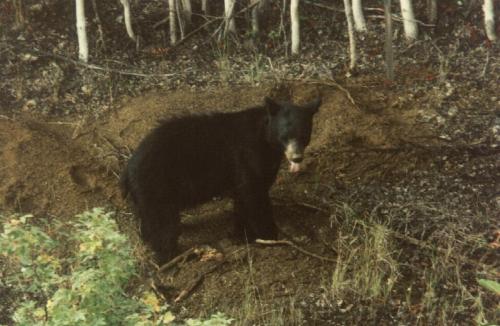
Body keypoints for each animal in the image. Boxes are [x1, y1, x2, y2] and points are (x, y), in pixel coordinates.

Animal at [123, 95, 322, 262]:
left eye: (304, 135)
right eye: (285, 136)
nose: (297, 158)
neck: (266, 139)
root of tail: (128, 167)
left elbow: (244, 198)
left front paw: (242, 234)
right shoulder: (247, 155)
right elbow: (254, 194)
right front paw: (269, 234)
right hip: (156, 184)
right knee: (162, 223)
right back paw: (169, 256)